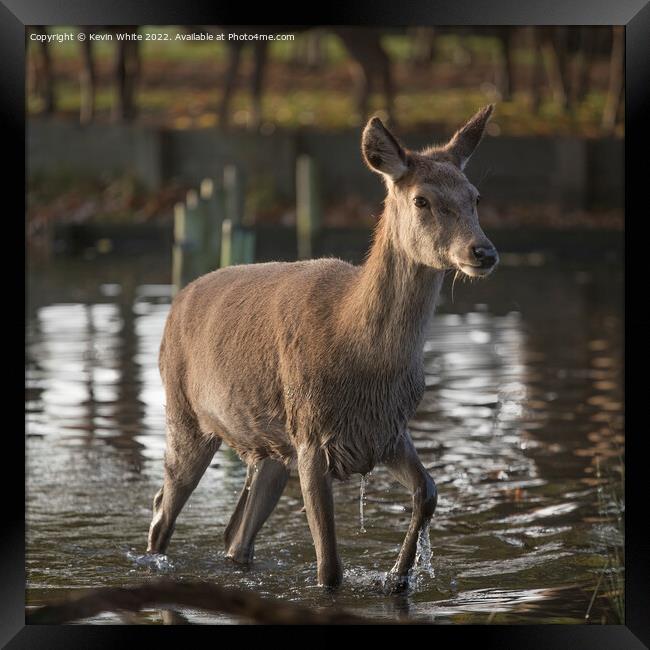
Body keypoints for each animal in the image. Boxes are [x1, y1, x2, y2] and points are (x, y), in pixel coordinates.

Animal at [146, 102, 496, 588]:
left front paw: (398, 576)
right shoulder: (311, 434)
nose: (483, 252)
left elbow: (428, 491)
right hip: (185, 415)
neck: (363, 360)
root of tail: (175, 303)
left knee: (236, 533)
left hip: (268, 449)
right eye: (421, 199)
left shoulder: (386, 431)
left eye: (475, 196)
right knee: (162, 509)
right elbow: (329, 567)